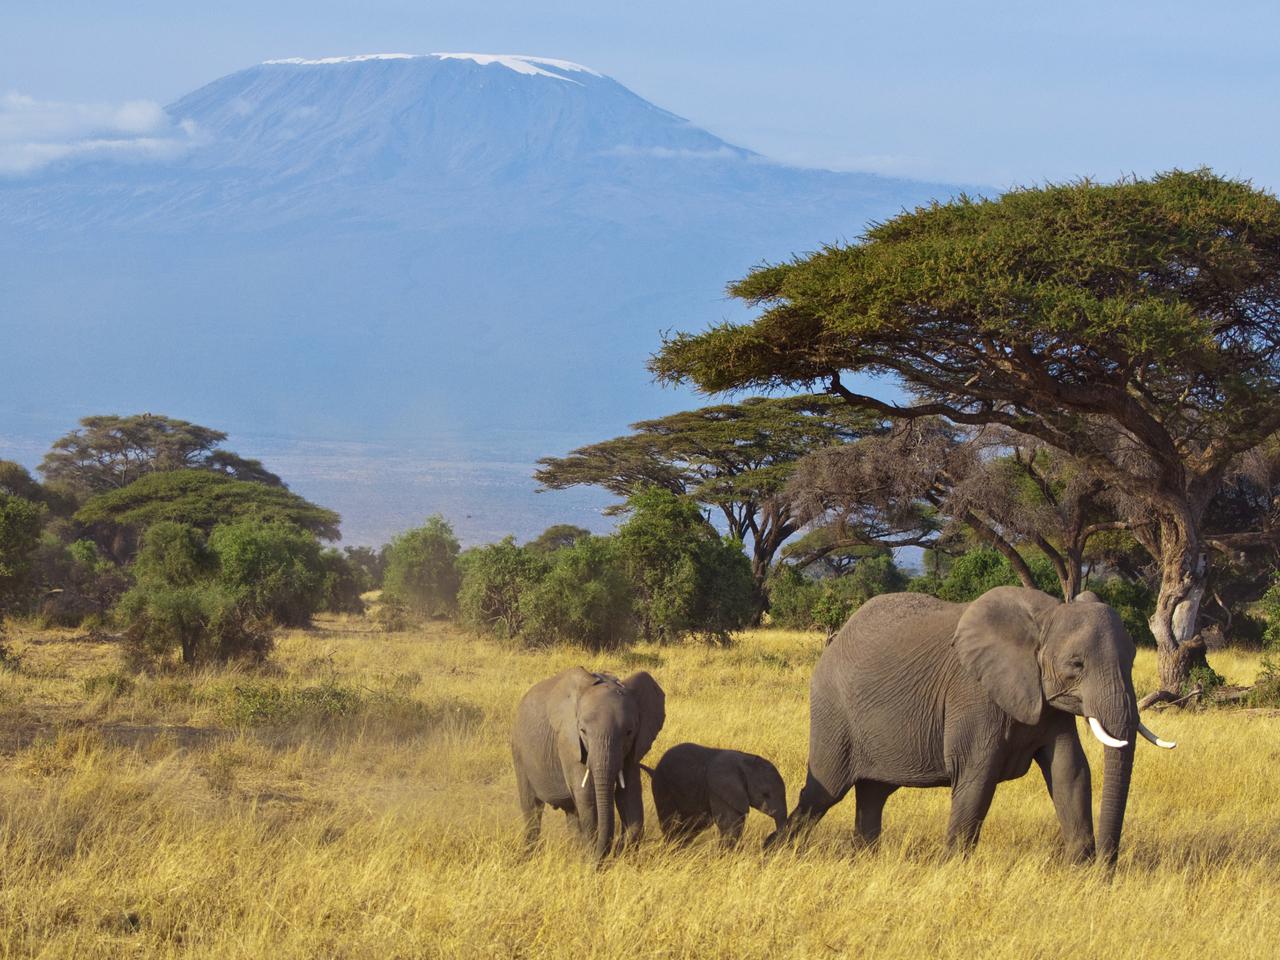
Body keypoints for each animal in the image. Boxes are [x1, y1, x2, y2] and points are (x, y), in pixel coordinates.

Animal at [512, 670, 665, 865]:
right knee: (532, 807)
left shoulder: (635, 747)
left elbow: (629, 795)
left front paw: (619, 855)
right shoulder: (568, 743)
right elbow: (587, 796)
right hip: (518, 751)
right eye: (583, 731)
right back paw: (529, 857)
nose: (610, 854)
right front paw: (591, 860)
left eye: (629, 732)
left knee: (571, 812)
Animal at [645, 742, 783, 849]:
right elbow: (730, 824)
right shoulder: (718, 789)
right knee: (670, 820)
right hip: (662, 785)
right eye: (766, 794)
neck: (745, 761)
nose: (770, 839)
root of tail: (654, 769)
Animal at [762, 586, 1172, 865]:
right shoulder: (973, 694)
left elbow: (1069, 771)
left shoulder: (1046, 701)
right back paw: (773, 851)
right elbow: (977, 776)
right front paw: (952, 868)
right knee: (824, 792)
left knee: (873, 795)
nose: (1108, 866)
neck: (1045, 616)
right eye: (1076, 665)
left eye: (1132, 661)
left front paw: (1081, 872)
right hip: (833, 711)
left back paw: (864, 859)